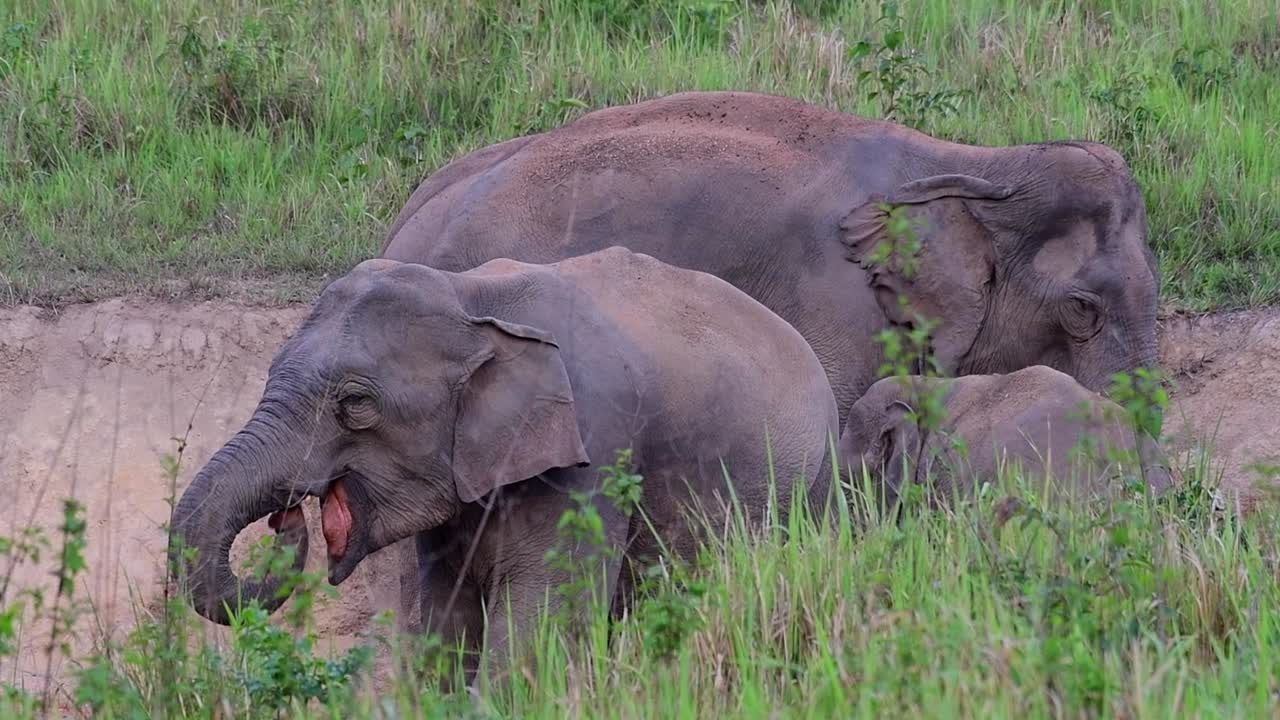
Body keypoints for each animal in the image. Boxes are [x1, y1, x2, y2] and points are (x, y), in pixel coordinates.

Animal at [169, 247, 839, 682]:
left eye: (355, 404)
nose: (285, 519)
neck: (471, 299)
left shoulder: (590, 450)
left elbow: (538, 630)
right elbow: (446, 621)